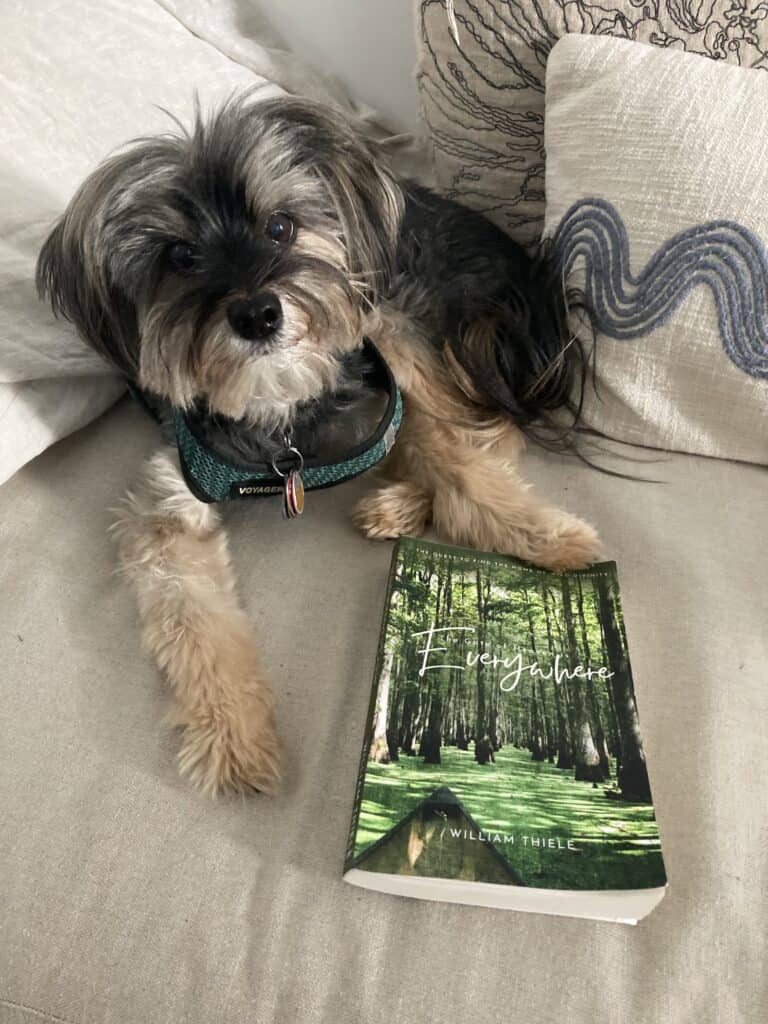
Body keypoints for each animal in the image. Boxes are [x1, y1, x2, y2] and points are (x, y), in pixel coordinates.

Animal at [36, 94, 602, 798]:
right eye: (180, 256)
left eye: (281, 227)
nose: (257, 313)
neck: (281, 414)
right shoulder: (168, 508)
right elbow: (195, 625)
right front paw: (237, 741)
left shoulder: (387, 400)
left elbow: (462, 466)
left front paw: (550, 537)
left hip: (393, 317)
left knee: (493, 429)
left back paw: (399, 504)